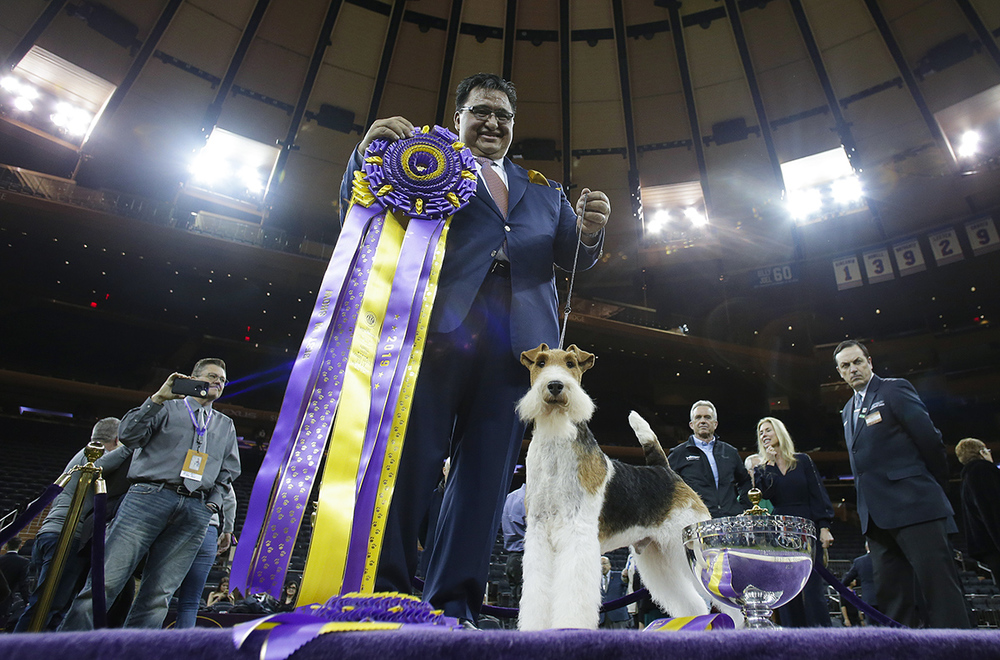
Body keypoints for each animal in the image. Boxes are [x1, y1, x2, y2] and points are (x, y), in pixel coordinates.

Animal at [515, 343, 712, 631]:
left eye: (571, 363)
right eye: (540, 363)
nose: (555, 385)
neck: (556, 440)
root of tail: (664, 469)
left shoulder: (577, 533)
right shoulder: (539, 534)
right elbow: (537, 594)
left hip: (687, 546)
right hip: (656, 555)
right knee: (693, 602)